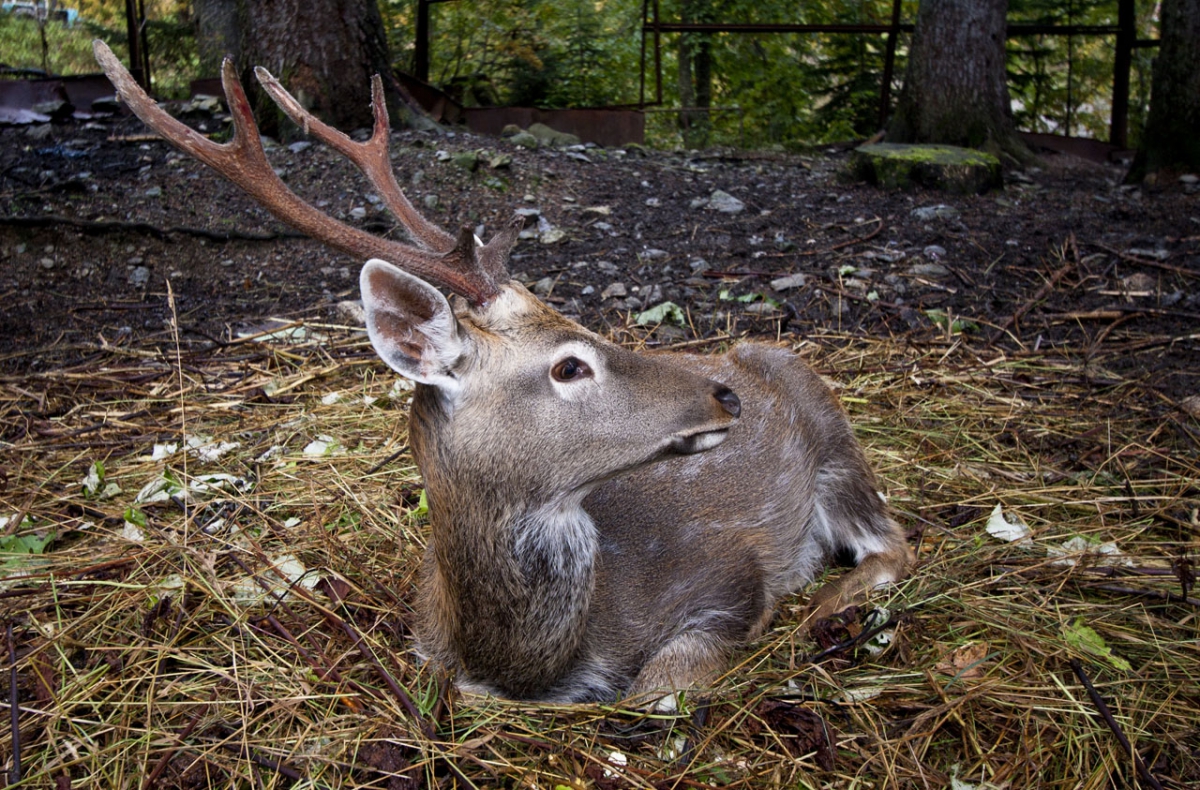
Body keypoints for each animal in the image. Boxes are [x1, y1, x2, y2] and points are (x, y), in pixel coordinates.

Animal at [96, 39, 916, 705]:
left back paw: (827, 609)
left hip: (831, 429)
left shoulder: (730, 573)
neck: (525, 660)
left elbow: (657, 689)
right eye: (569, 366)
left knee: (896, 542)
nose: (725, 395)